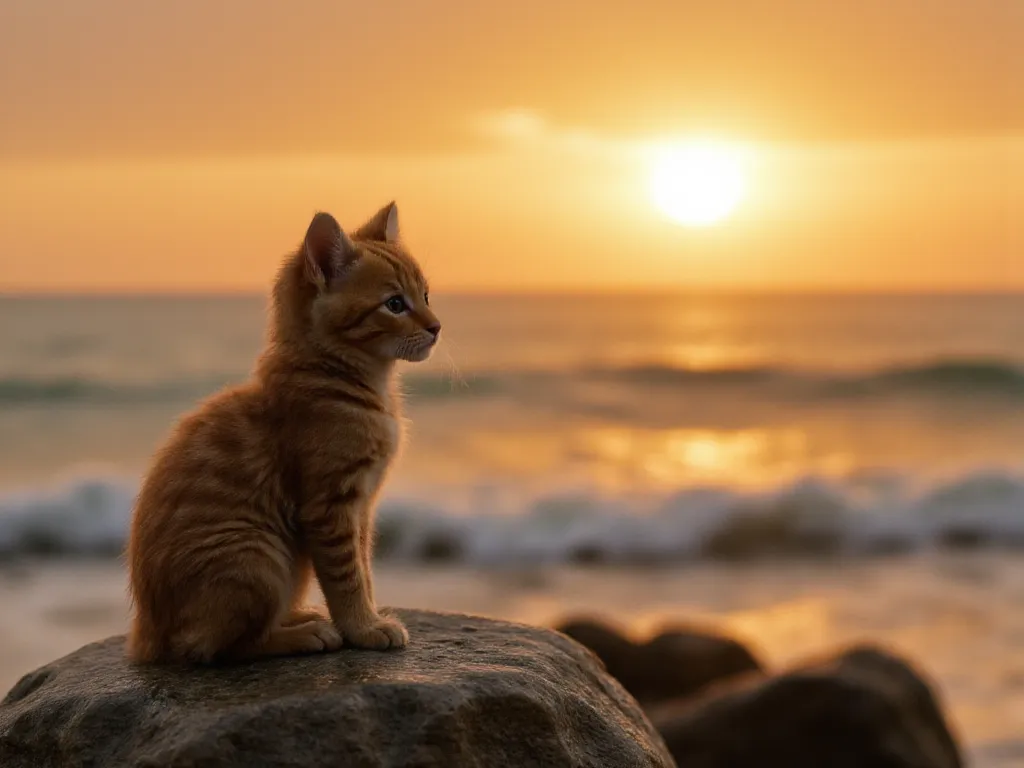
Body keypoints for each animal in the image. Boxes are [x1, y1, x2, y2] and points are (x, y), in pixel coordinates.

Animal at [124, 204, 440, 667]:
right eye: (395, 304)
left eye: (427, 296)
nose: (437, 327)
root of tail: (145, 636)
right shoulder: (331, 507)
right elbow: (347, 577)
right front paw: (364, 627)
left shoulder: (362, 509)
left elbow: (363, 569)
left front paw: (366, 617)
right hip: (258, 557)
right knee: (214, 647)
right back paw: (301, 635)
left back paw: (299, 618)